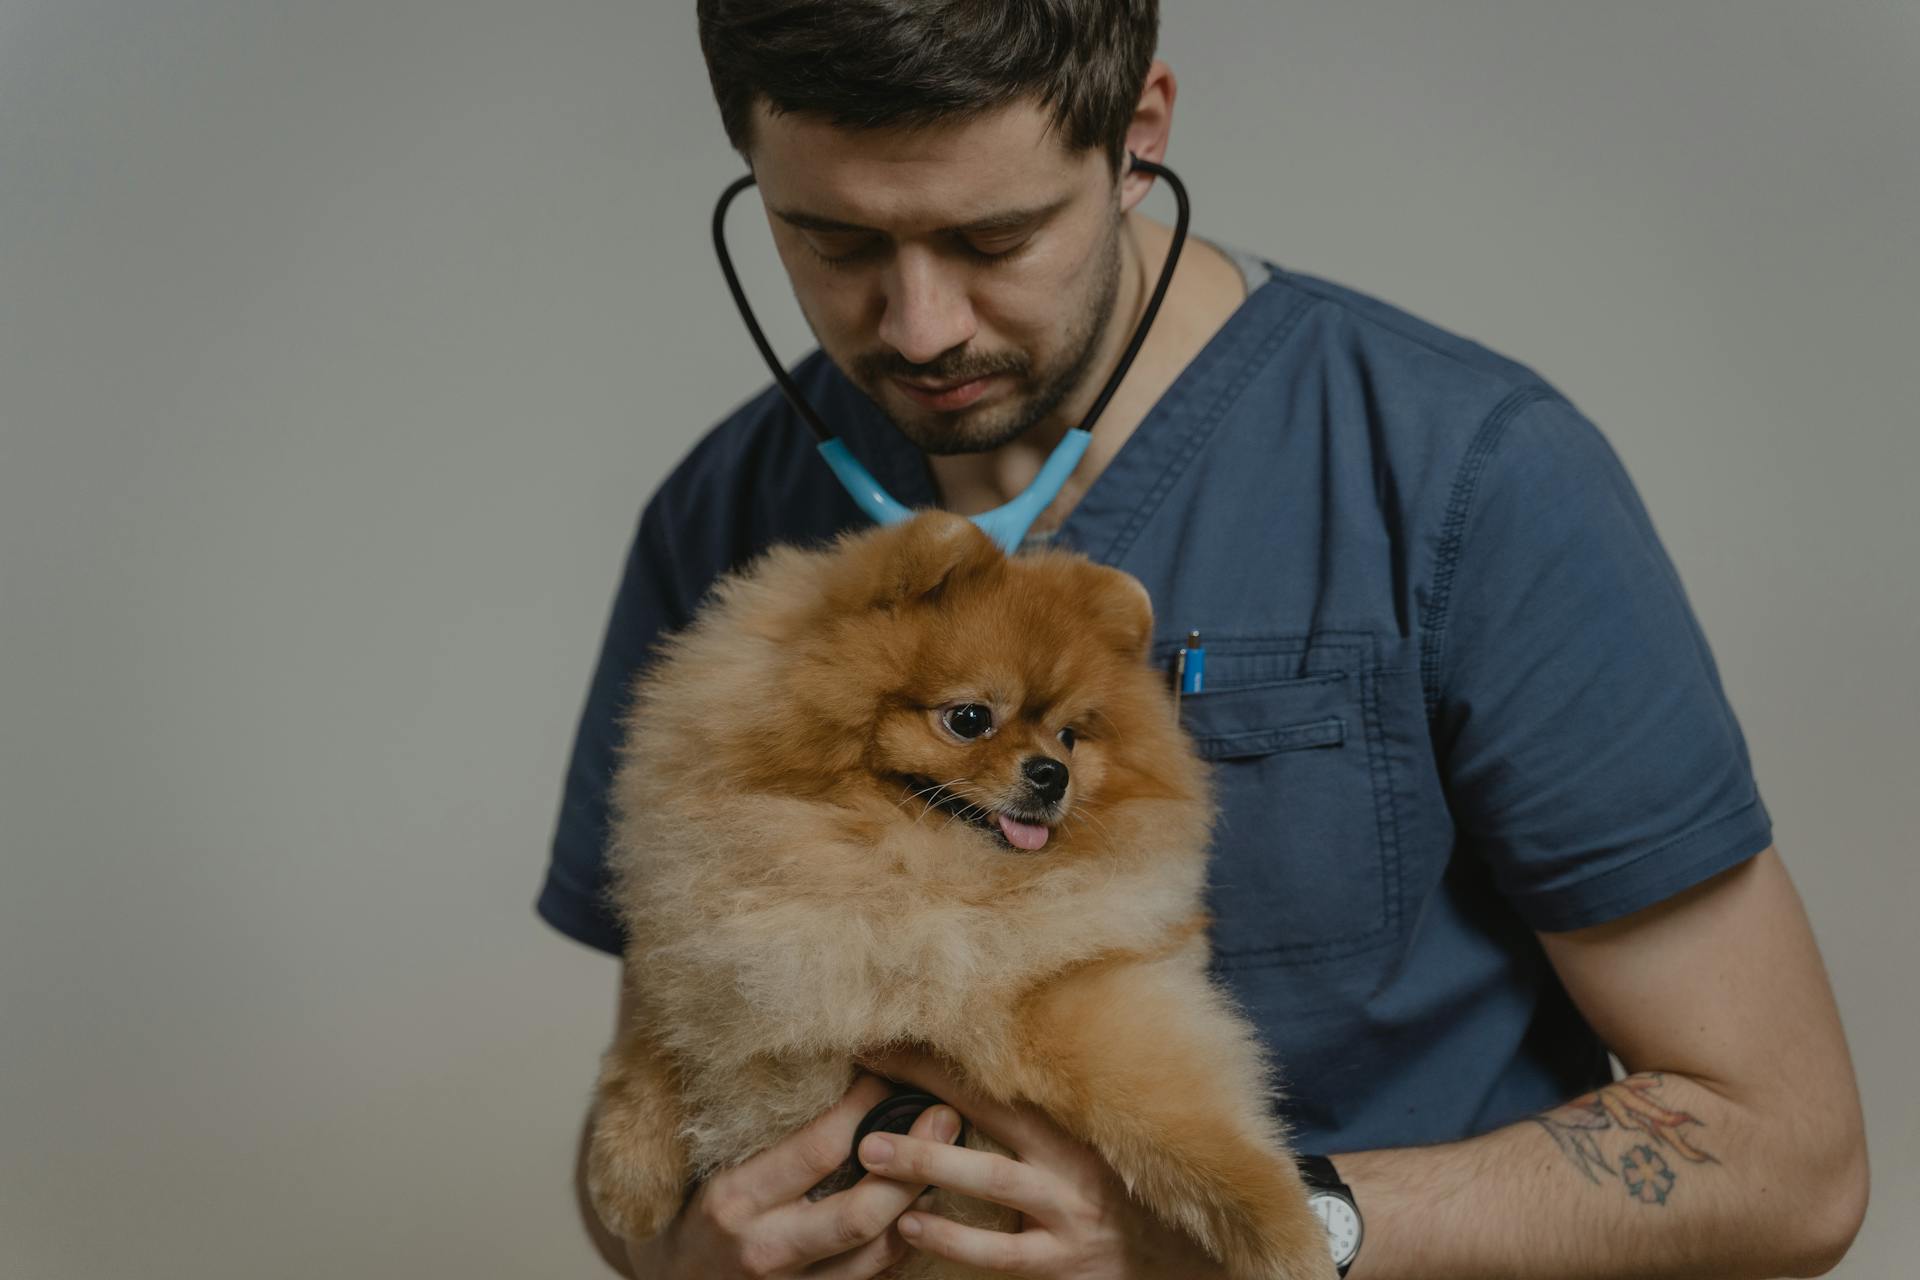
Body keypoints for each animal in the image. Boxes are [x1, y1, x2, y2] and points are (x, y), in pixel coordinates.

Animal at [583, 510, 1336, 1280]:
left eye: (1071, 734)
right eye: (970, 719)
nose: (1053, 773)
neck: (909, 878)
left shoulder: (1074, 989)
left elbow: (1173, 1110)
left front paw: (1290, 1238)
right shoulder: (715, 961)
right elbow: (654, 1044)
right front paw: (627, 1178)